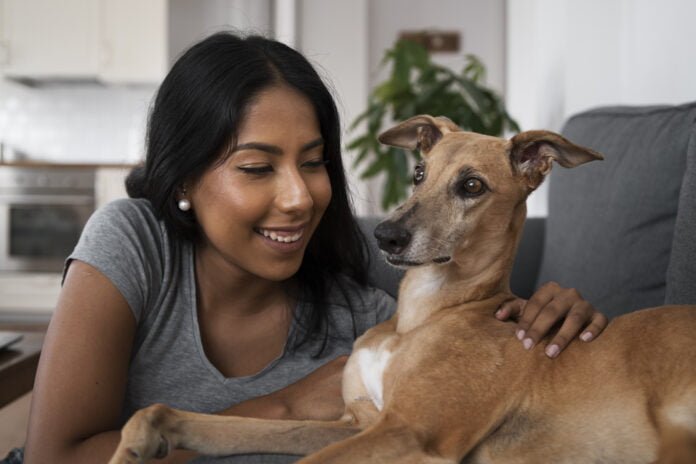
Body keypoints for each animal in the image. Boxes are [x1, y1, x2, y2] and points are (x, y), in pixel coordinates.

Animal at [109, 116, 696, 464]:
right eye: (418, 172)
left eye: (472, 185)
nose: (384, 235)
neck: (426, 315)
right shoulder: (358, 422)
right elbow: (214, 424)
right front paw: (139, 440)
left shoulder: (411, 432)